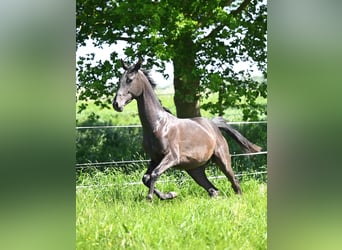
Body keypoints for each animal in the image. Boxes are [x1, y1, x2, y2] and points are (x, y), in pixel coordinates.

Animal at [113, 58, 260, 201]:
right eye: (119, 80)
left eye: (130, 79)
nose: (116, 104)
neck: (159, 125)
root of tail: (213, 124)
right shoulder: (155, 159)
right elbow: (145, 178)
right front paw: (169, 195)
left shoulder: (171, 157)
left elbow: (154, 174)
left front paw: (151, 198)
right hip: (195, 170)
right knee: (213, 190)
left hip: (222, 160)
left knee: (234, 182)